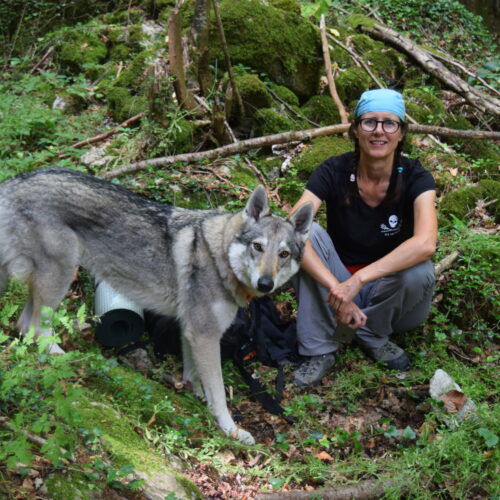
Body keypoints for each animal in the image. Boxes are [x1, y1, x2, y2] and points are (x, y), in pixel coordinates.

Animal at [0, 169, 312, 446]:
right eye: (257, 247)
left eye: (283, 254)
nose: (265, 284)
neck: (220, 257)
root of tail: (12, 183)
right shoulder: (205, 335)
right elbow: (220, 393)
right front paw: (231, 430)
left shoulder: (191, 332)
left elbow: (194, 374)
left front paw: (195, 394)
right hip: (59, 278)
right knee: (35, 328)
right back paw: (59, 357)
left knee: (22, 325)